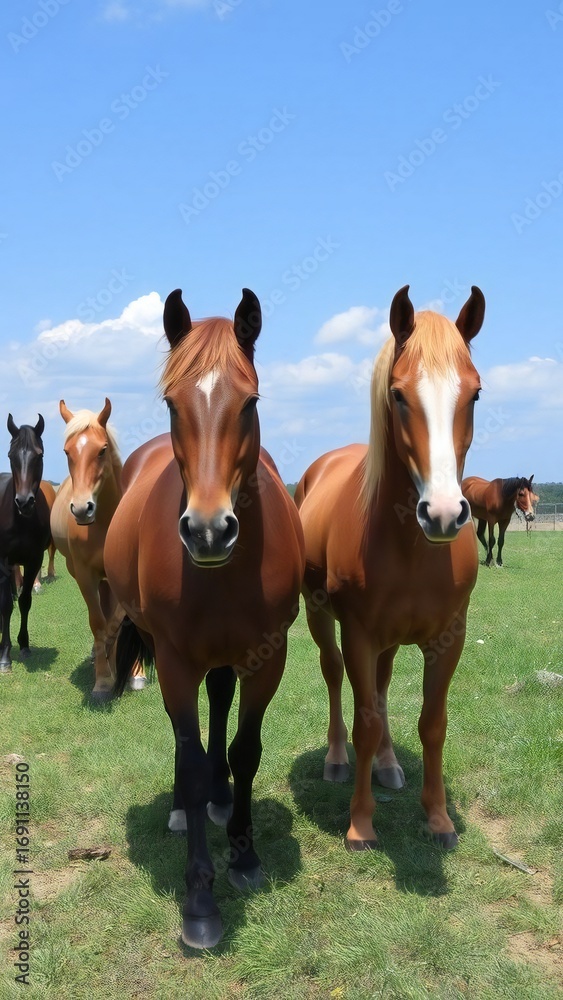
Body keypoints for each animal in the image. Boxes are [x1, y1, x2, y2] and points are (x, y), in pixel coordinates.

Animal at [50, 399, 146, 701]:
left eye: (102, 450)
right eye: (67, 451)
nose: (82, 509)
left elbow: (117, 622)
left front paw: (125, 672)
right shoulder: (85, 575)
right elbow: (98, 623)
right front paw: (103, 680)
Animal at [104, 288, 304, 949]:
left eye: (251, 401)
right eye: (172, 402)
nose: (209, 530)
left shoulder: (269, 655)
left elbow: (246, 748)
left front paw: (244, 854)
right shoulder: (173, 658)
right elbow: (189, 760)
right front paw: (199, 901)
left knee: (219, 701)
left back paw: (221, 799)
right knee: (185, 733)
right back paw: (182, 807)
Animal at [295, 285, 485, 852]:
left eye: (475, 394)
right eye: (399, 395)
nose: (442, 513)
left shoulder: (449, 638)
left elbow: (432, 723)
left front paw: (438, 818)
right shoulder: (358, 633)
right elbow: (365, 723)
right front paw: (360, 823)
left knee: (379, 689)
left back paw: (388, 766)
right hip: (320, 616)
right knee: (335, 675)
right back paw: (338, 760)